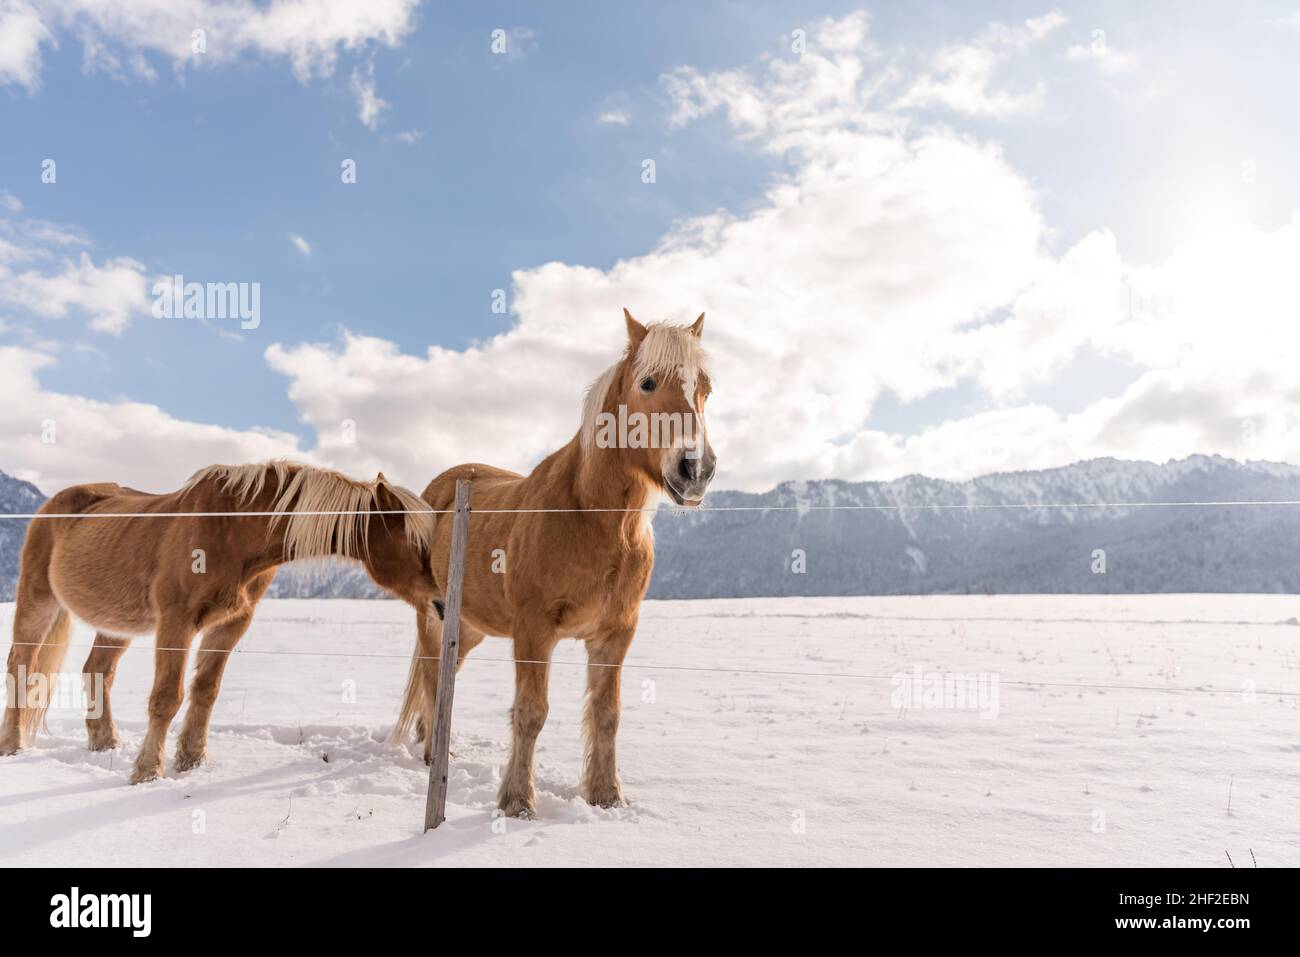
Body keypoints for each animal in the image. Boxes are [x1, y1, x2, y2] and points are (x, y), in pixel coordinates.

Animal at [0, 461, 436, 784]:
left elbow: (206, 691)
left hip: (116, 622)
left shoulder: (231, 624)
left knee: (98, 671)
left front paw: (191, 761)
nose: (440, 602)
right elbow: (166, 697)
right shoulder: (176, 623)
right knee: (21, 666)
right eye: (414, 543)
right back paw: (12, 745)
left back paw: (106, 743)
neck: (232, 529)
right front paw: (147, 771)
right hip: (38, 601)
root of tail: (55, 504)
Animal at [392, 309, 717, 817]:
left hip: (467, 626)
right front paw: (517, 802)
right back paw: (431, 756)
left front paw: (607, 795)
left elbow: (607, 714)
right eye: (647, 383)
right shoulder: (534, 630)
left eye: (706, 388)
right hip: (433, 618)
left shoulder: (614, 634)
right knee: (430, 674)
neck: (593, 518)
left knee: (444, 676)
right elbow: (531, 713)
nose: (696, 470)